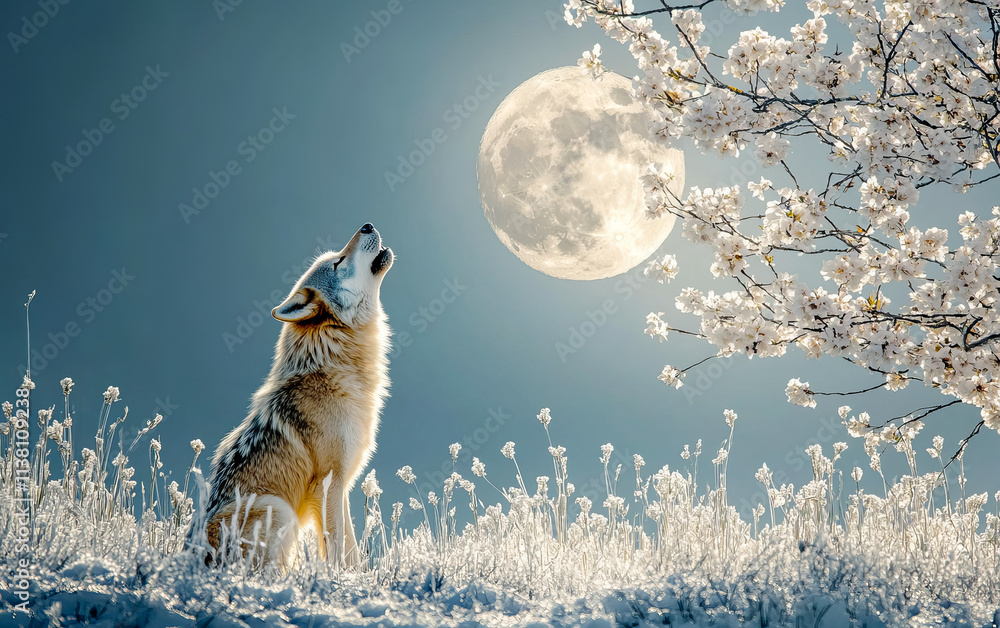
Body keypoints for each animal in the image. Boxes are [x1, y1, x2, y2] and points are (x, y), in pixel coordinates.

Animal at [202, 223, 393, 569]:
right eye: (338, 263)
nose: (367, 225)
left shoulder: (342, 485)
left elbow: (351, 548)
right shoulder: (328, 484)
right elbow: (337, 548)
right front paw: (340, 578)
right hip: (280, 509)